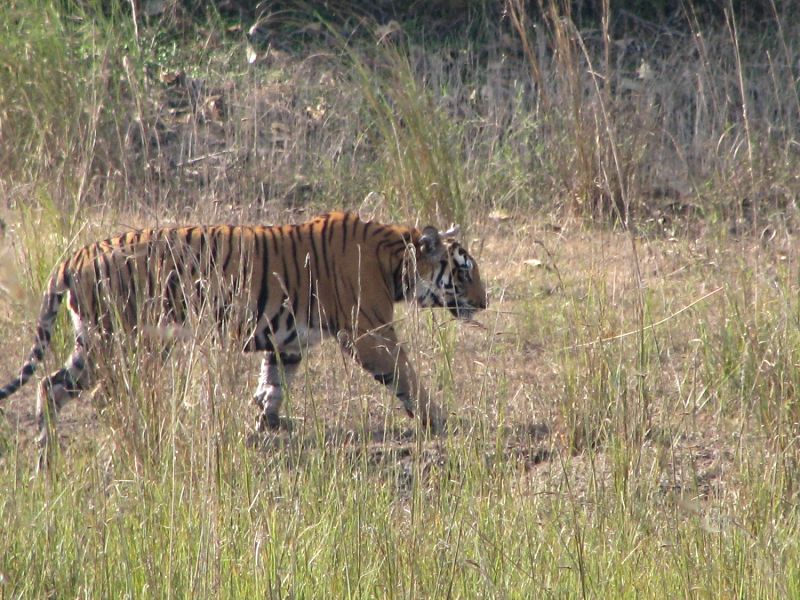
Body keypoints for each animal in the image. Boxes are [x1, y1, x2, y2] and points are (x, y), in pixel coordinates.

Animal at [0, 211, 487, 464]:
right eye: (464, 271)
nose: (484, 302)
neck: (395, 259)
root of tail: (74, 256)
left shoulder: (288, 342)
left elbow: (273, 385)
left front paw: (268, 424)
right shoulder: (370, 333)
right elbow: (407, 376)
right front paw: (440, 418)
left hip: (94, 343)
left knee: (50, 385)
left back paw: (46, 448)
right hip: (120, 342)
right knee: (104, 393)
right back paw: (130, 429)